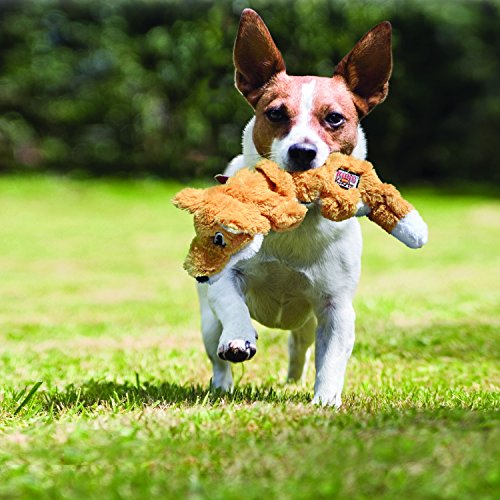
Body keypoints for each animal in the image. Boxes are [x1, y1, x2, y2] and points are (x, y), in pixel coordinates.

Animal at [197, 7, 396, 406]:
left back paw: (293, 378)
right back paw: (223, 382)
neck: (296, 217)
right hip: (208, 323)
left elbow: (331, 357)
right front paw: (239, 337)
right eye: (275, 113)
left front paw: (326, 400)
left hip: (307, 323)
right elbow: (233, 304)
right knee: (217, 353)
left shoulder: (336, 308)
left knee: (299, 346)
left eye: (334, 118)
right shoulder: (226, 279)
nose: (302, 151)